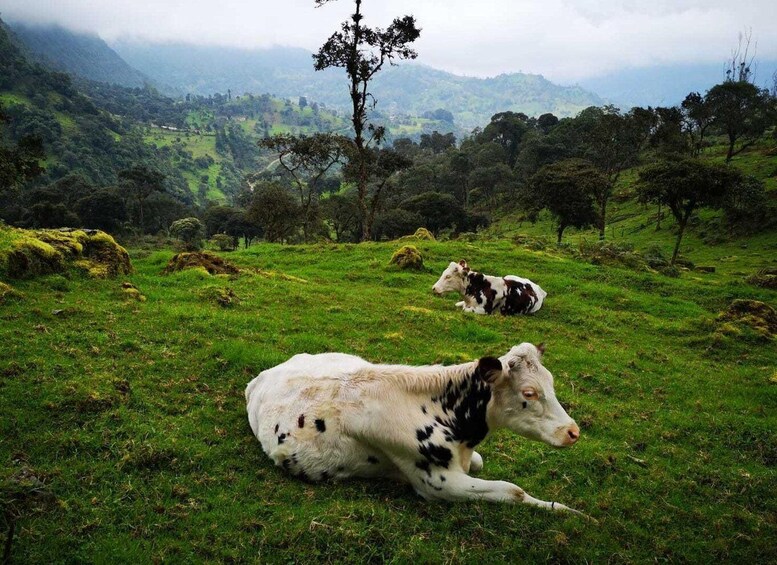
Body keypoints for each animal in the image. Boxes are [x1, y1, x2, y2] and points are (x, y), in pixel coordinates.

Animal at [246, 344, 584, 516]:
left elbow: (481, 462)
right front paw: (569, 512)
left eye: (551, 381)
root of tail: (265, 373)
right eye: (529, 393)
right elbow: (513, 490)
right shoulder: (439, 484)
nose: (573, 432)